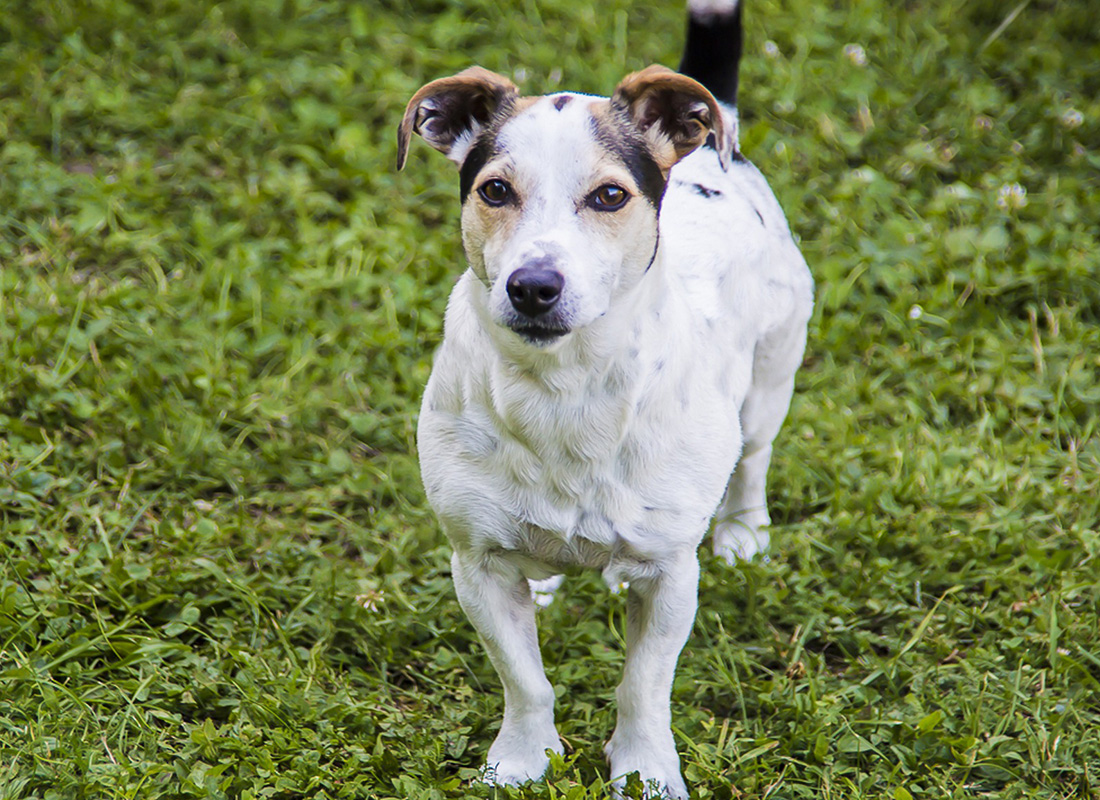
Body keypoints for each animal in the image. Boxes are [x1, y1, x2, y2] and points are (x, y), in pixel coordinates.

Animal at [400, 0, 814, 796]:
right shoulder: (476, 565)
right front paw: (521, 760)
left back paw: (745, 532)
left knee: (753, 458)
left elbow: (643, 688)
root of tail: (717, 149)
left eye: (610, 196)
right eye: (494, 190)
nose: (533, 286)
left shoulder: (668, 575)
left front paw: (645, 770)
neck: (563, 389)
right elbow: (525, 680)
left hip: (770, 379)